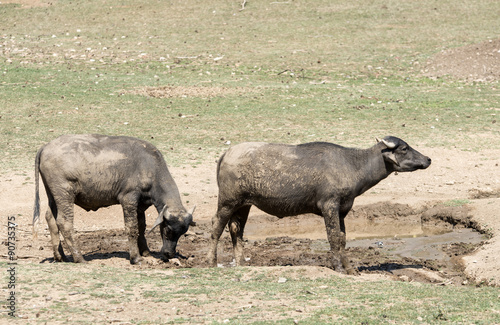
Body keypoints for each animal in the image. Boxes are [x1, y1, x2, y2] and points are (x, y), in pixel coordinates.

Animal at [33, 134, 195, 264]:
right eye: (167, 230)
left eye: (183, 232)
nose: (169, 253)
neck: (148, 166)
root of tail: (45, 147)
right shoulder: (128, 199)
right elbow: (132, 227)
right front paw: (136, 257)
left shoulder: (140, 205)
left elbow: (141, 227)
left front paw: (146, 252)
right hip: (65, 194)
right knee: (64, 222)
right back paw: (79, 258)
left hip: (53, 195)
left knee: (51, 218)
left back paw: (60, 256)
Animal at [207, 135, 430, 272]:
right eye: (404, 148)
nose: (427, 159)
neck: (353, 165)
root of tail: (227, 154)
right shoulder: (329, 207)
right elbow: (333, 237)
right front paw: (339, 267)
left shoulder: (343, 210)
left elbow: (342, 238)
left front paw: (349, 268)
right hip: (227, 201)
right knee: (216, 227)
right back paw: (211, 261)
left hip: (244, 204)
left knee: (236, 230)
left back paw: (241, 262)